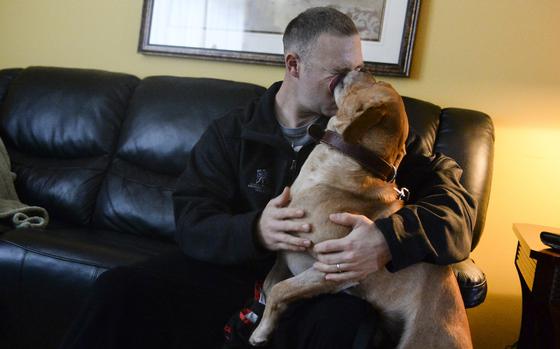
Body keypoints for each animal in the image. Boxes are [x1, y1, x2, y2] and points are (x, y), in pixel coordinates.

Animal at [249, 69, 472, 346]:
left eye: (378, 81)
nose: (361, 67)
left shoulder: (334, 269)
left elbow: (280, 290)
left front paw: (260, 332)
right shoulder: (284, 254)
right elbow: (269, 285)